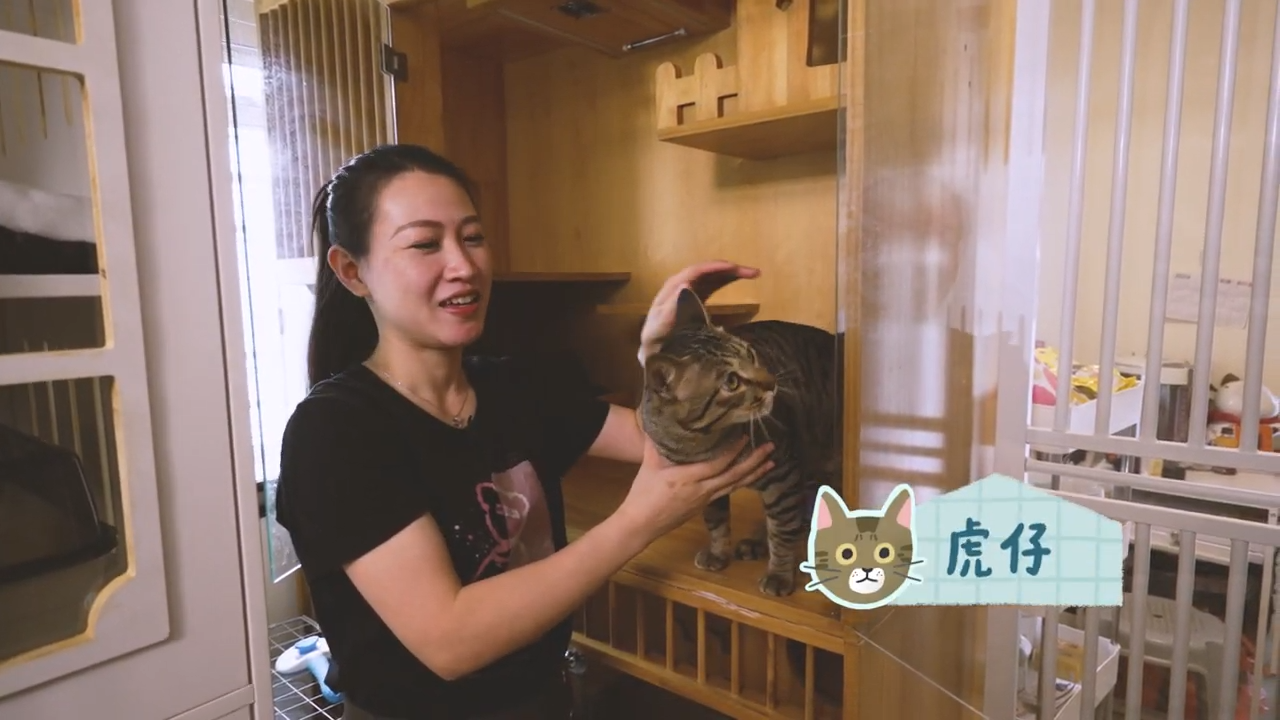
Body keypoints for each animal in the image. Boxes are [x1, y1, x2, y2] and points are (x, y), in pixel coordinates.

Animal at [638, 287, 838, 596]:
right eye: (731, 382)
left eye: (752, 354)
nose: (772, 382)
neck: (705, 443)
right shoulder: (706, 485)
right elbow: (716, 522)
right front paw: (718, 553)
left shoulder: (783, 475)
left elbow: (782, 530)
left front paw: (779, 574)